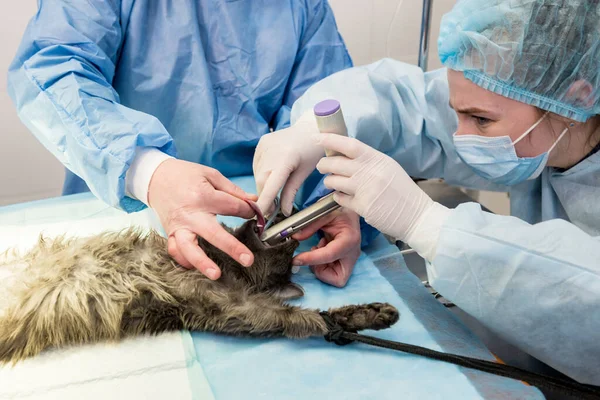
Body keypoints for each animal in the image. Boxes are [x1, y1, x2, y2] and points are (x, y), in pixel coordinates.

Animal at [0, 214, 398, 364]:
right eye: (287, 254)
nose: (295, 238)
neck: (225, 263)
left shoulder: (227, 307)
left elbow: (298, 317)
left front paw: (369, 315)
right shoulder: (225, 301)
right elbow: (301, 319)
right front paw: (363, 318)